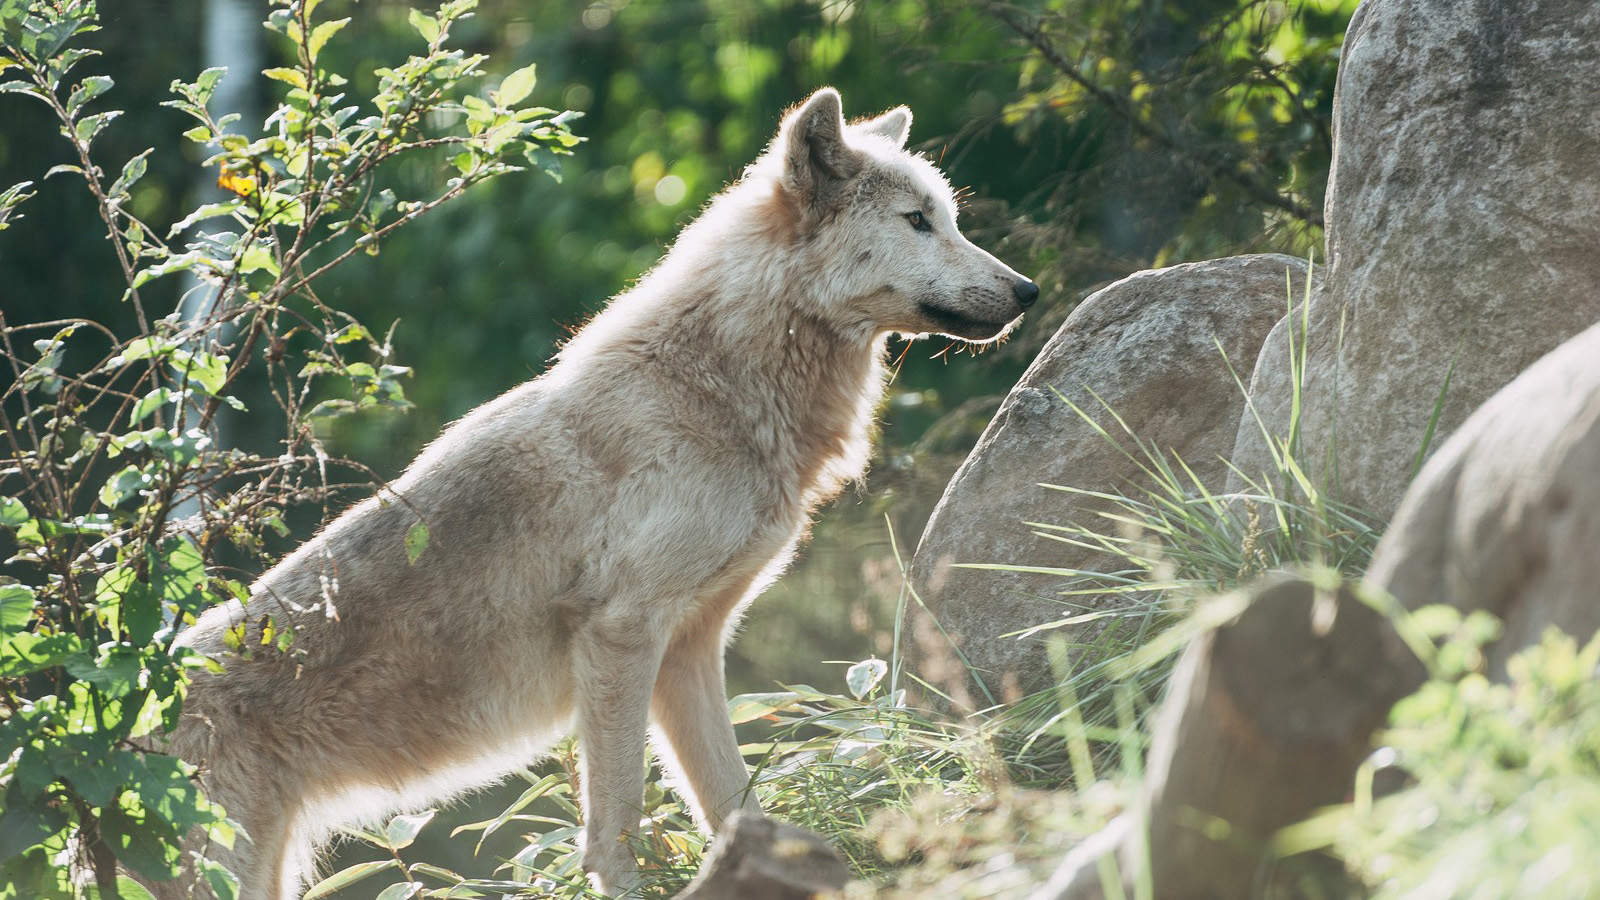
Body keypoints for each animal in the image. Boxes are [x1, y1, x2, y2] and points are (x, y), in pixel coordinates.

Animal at [156, 85, 1036, 896]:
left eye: (951, 219)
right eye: (917, 221)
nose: (1027, 291)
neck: (714, 390)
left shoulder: (689, 651)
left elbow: (732, 804)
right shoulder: (620, 635)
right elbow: (616, 826)